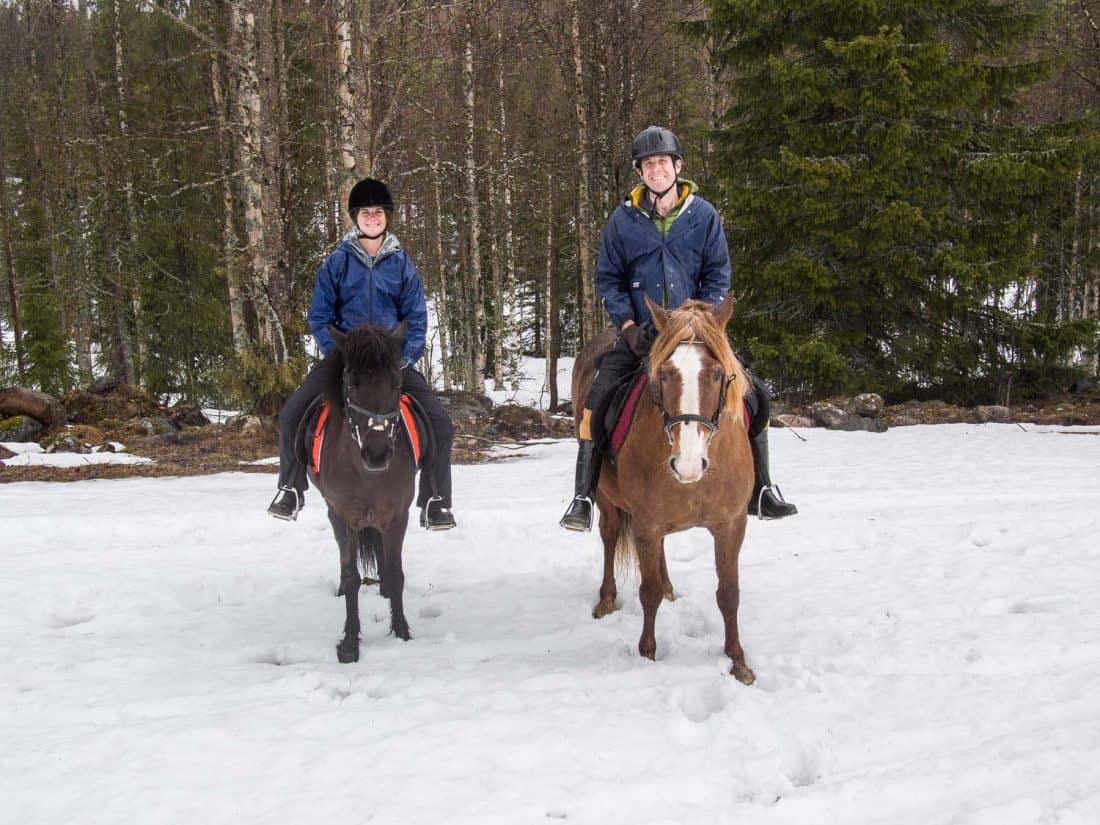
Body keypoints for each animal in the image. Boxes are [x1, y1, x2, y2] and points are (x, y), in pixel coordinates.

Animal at [310, 323, 415, 664]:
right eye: (351, 383)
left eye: (397, 383)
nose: (377, 453)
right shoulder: (345, 519)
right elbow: (351, 577)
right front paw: (349, 644)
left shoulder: (397, 516)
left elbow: (395, 573)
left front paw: (402, 632)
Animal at [576, 297, 756, 686]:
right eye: (664, 374)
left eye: (716, 373)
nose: (687, 464)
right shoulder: (646, 523)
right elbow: (649, 591)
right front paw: (647, 654)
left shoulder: (731, 525)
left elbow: (729, 593)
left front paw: (738, 661)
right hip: (608, 501)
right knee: (610, 537)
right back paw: (607, 599)